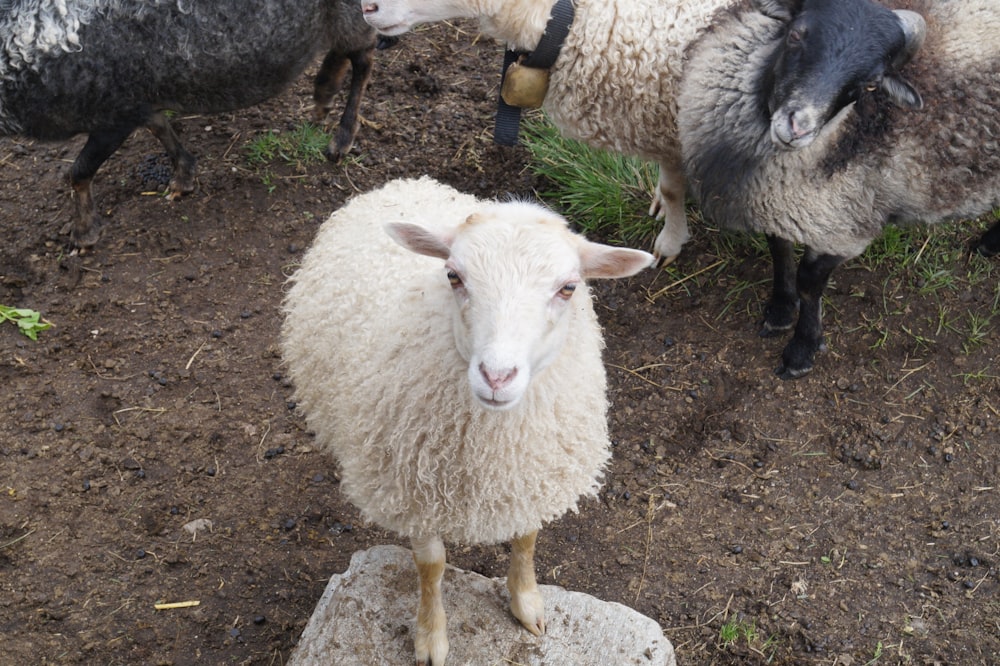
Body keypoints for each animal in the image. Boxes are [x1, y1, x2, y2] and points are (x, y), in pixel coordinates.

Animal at [1, 0, 376, 246]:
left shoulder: (115, 114)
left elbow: (78, 172)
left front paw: (84, 235)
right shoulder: (141, 101)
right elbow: (161, 129)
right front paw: (183, 178)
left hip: (355, 10)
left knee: (365, 58)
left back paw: (341, 137)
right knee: (346, 50)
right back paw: (323, 93)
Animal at [282, 174, 656, 660]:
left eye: (569, 288)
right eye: (453, 276)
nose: (497, 376)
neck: (490, 449)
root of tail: (402, 182)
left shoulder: (532, 477)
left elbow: (526, 540)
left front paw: (526, 602)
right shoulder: (413, 490)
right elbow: (431, 565)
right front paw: (431, 636)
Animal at [680, 0, 1000, 376]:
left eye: (872, 83)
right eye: (795, 34)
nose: (798, 127)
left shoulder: (843, 225)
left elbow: (809, 281)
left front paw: (801, 349)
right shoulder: (777, 203)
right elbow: (779, 250)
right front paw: (780, 310)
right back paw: (988, 245)